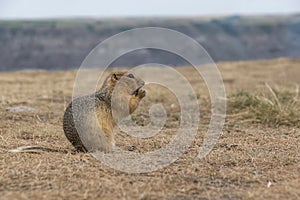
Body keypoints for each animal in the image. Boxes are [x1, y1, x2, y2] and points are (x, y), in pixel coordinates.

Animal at [8, 72, 145, 153]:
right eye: (130, 75)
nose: (144, 82)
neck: (110, 89)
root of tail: (80, 149)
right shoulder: (115, 96)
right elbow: (125, 104)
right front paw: (141, 93)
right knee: (108, 150)